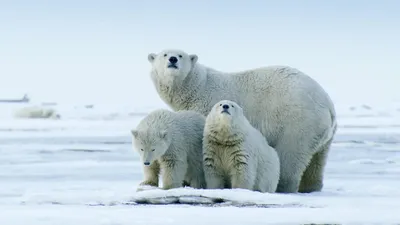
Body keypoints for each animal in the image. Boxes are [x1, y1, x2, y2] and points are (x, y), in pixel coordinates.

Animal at [147, 49, 338, 193]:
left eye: (180, 55)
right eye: (164, 54)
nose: (172, 59)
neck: (197, 87)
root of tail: (328, 104)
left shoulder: (206, 108)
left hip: (298, 122)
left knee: (290, 155)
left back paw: (282, 187)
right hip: (323, 134)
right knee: (317, 161)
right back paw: (311, 187)